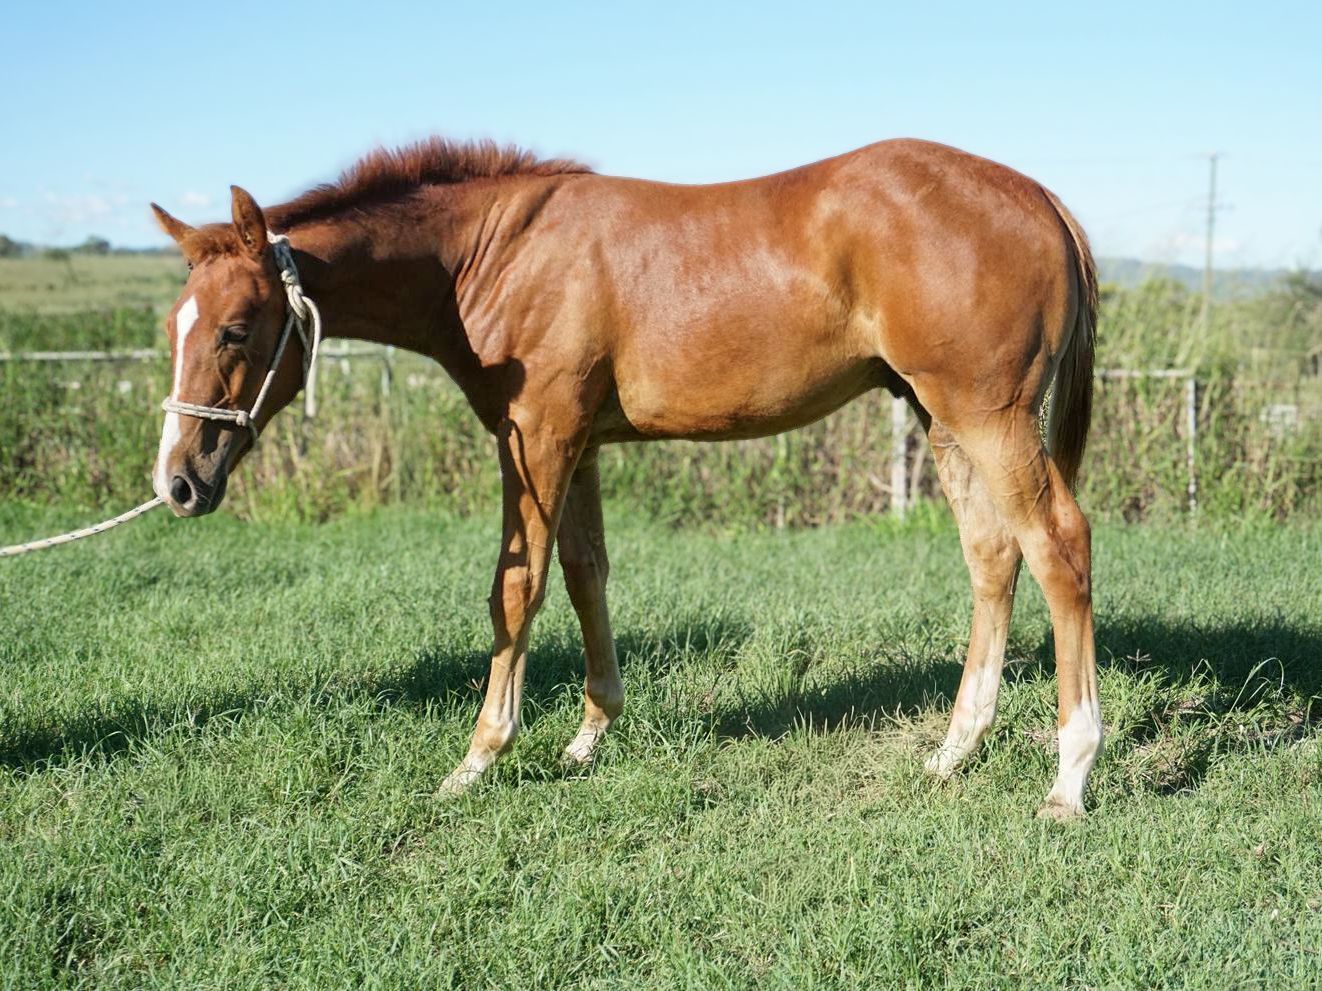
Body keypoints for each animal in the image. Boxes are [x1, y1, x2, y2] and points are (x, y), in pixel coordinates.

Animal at [149, 136, 1101, 818]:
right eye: (173, 325)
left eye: (236, 328)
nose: (178, 482)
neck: (496, 252)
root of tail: (1042, 198)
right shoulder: (578, 443)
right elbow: (584, 574)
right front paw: (588, 736)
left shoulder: (536, 437)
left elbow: (517, 587)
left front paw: (478, 757)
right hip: (943, 420)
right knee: (993, 558)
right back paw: (954, 750)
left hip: (988, 416)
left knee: (1059, 547)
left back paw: (1070, 775)